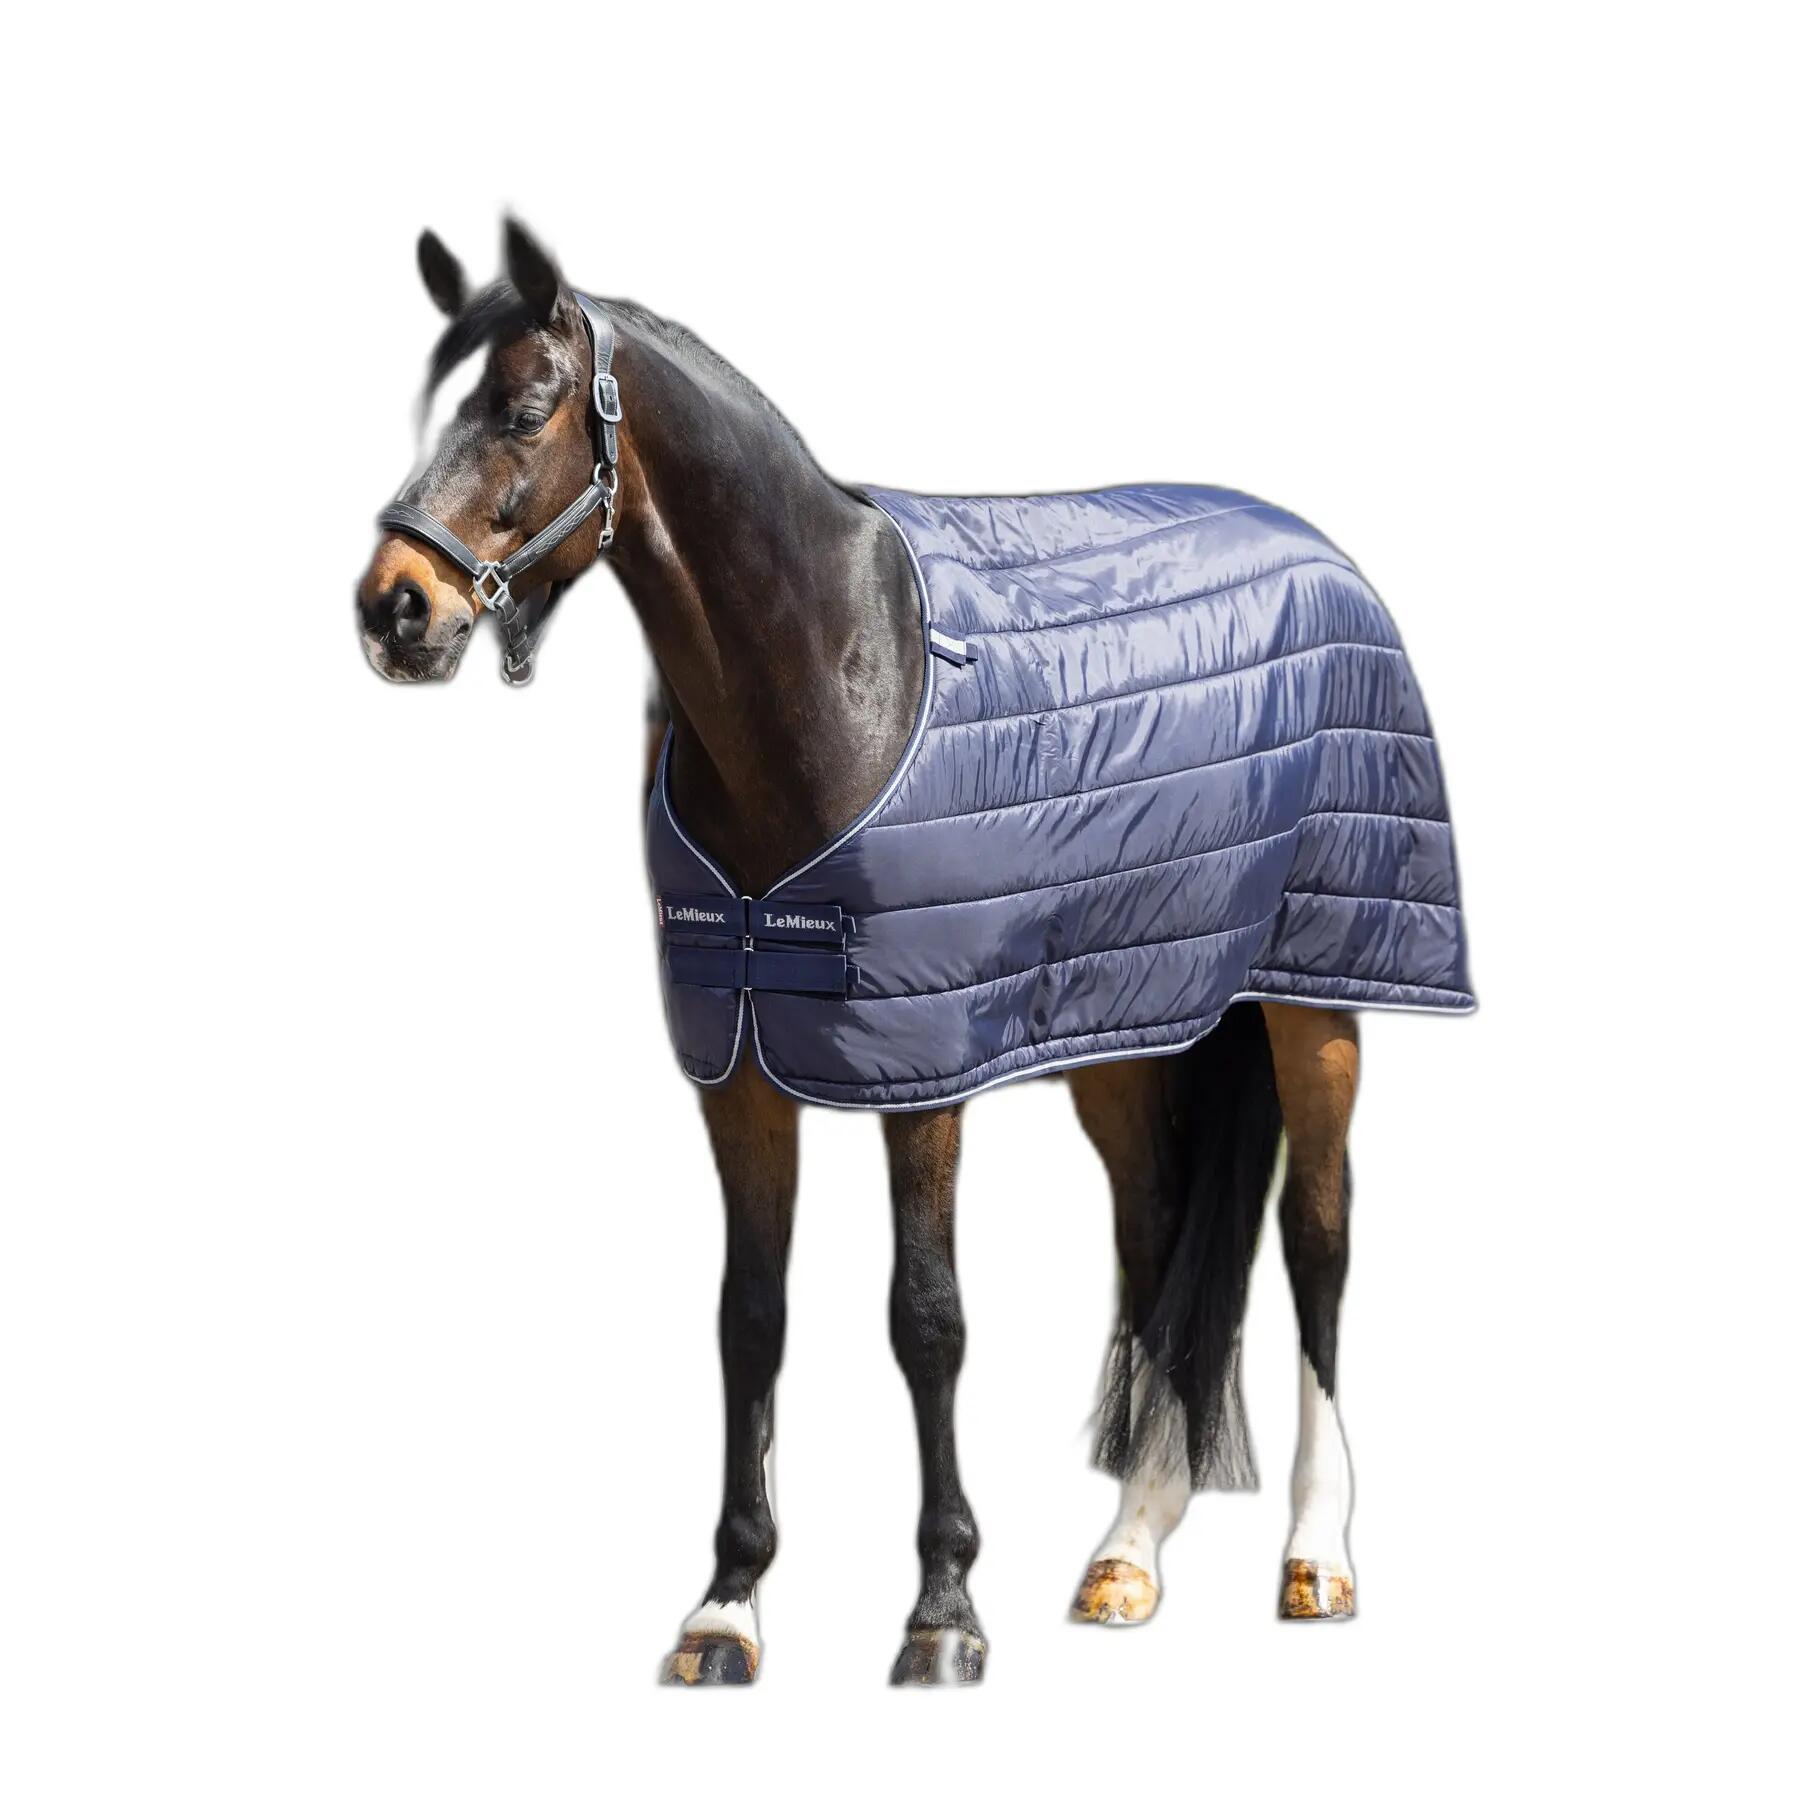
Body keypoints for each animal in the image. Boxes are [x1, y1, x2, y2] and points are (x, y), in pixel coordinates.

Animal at [355, 218, 1470, 1686]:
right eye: (426, 411)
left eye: (527, 407)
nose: (392, 609)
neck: (835, 671)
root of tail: (1325, 551)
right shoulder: (744, 1068)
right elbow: (749, 1318)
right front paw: (727, 1606)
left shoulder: (919, 1071)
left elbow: (925, 1320)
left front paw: (943, 1613)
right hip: (1126, 1028)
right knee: (1160, 1243)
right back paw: (1129, 1550)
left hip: (1319, 999)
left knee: (1317, 1239)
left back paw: (1317, 1556)